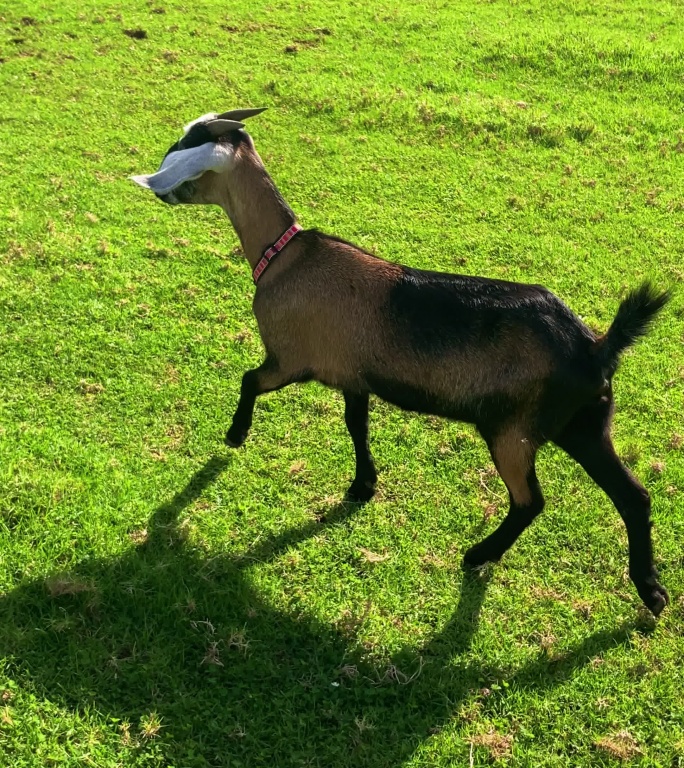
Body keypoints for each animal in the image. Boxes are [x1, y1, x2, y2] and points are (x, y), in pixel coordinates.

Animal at [131, 108, 672, 616]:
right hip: (584, 423)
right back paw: (651, 590)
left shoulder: (290, 360)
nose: (159, 186)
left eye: (187, 143)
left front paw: (235, 436)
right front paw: (363, 485)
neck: (283, 255)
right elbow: (356, 425)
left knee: (530, 501)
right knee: (633, 496)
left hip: (512, 430)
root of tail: (595, 346)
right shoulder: (352, 375)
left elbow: (248, 380)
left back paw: (478, 554)